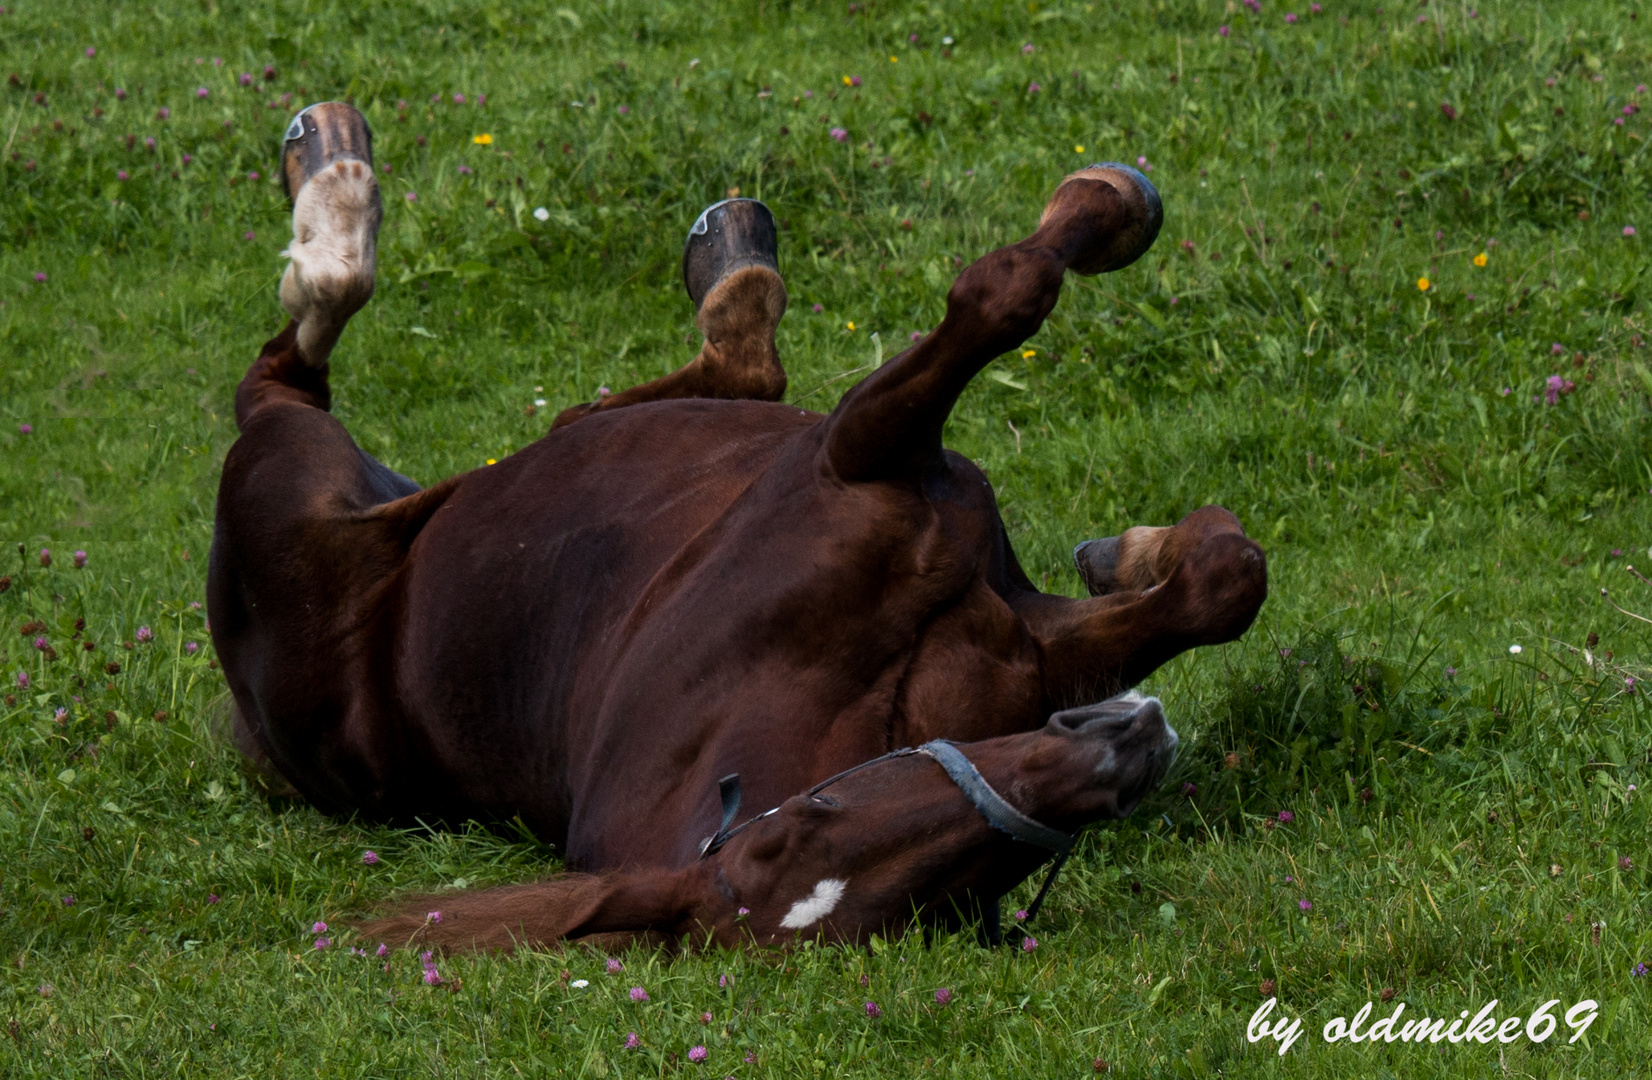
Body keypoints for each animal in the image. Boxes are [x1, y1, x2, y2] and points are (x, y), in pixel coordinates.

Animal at [206, 101, 1262, 951]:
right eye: (809, 822)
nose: (1117, 751)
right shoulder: (858, 453)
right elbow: (1004, 290)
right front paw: (1106, 201)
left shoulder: (1023, 626)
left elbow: (1224, 580)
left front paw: (1133, 553)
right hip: (284, 472)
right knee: (287, 366)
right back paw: (336, 185)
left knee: (635, 396)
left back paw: (727, 256)